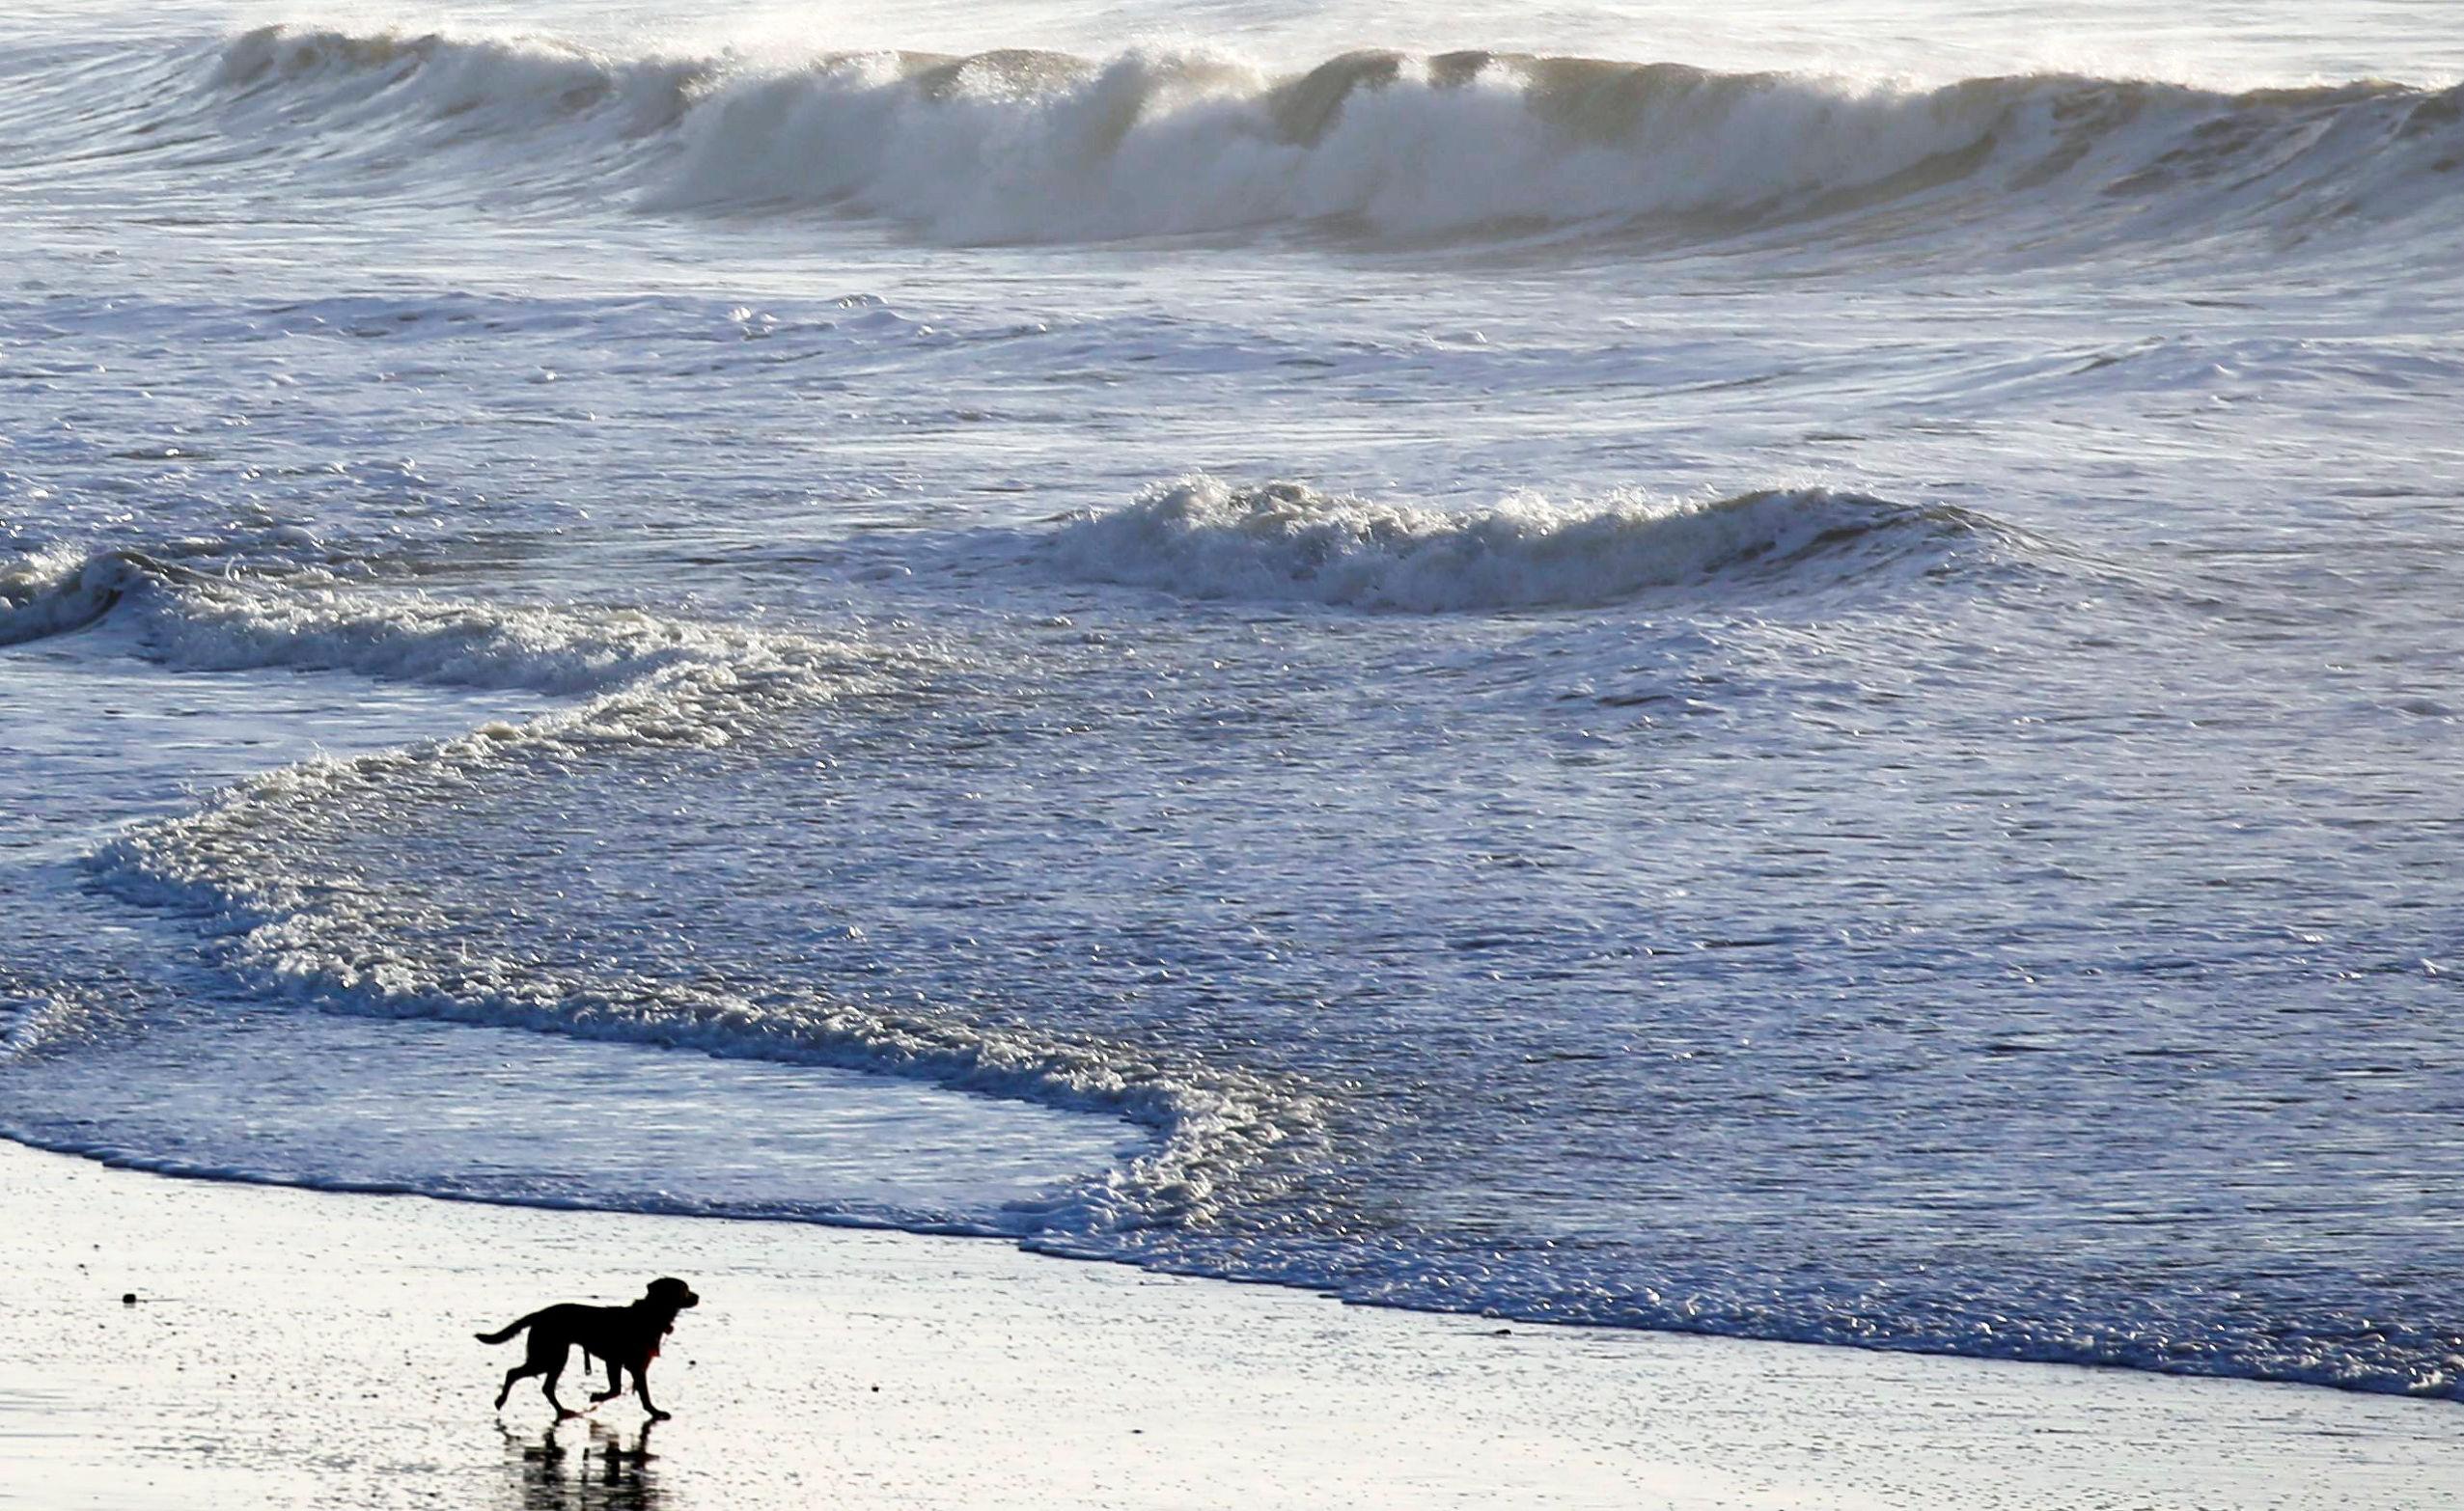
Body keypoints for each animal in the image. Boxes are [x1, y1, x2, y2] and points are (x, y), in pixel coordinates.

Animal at [478, 1272, 705, 1410]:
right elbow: (627, 1391)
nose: (698, 1296)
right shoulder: (618, 1362)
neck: (651, 1315)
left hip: (554, 1356)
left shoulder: (629, 1364)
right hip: (549, 1356)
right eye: (685, 1289)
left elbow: (631, 1392)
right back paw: (503, 1400)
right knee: (515, 1373)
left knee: (546, 1387)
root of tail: (540, 1314)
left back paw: (562, 1411)